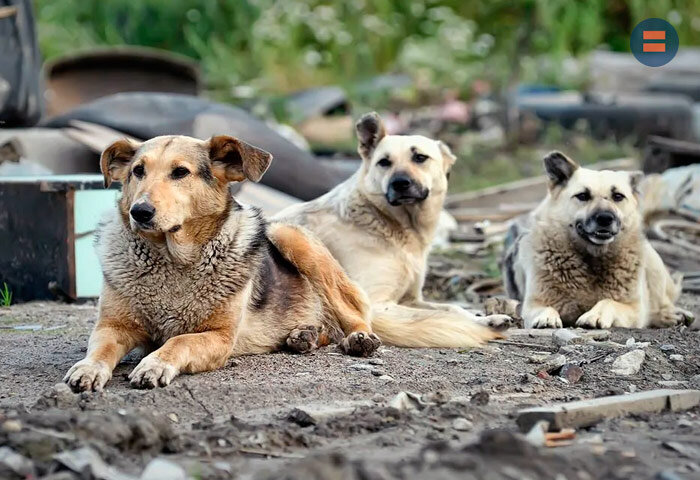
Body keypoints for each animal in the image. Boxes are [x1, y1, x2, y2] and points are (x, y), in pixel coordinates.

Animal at [65, 134, 380, 390]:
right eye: (138, 171)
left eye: (181, 172)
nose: (139, 211)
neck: (172, 260)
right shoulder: (112, 327)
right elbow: (100, 350)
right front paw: (87, 368)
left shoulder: (220, 337)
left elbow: (179, 341)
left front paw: (155, 364)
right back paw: (305, 335)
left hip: (289, 236)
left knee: (352, 311)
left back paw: (358, 338)